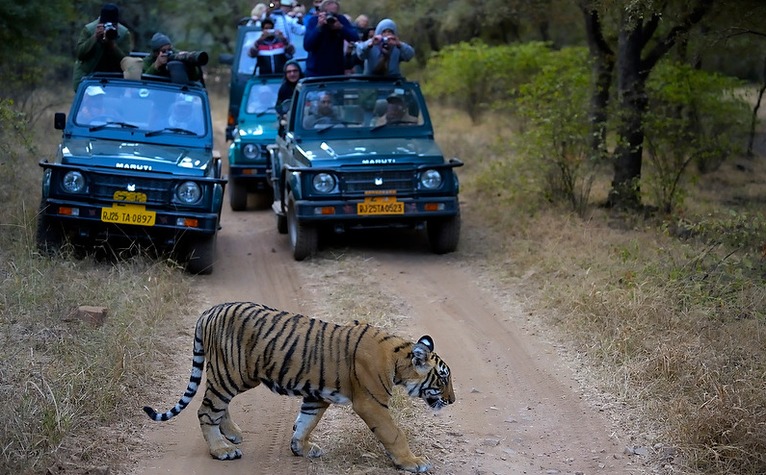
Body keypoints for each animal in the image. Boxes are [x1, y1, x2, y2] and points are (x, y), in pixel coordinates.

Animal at [143, 301, 455, 473]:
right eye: (442, 379)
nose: (452, 400)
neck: (397, 358)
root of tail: (209, 311)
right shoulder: (371, 403)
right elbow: (394, 434)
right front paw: (413, 462)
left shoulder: (317, 396)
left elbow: (307, 421)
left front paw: (300, 447)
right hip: (231, 373)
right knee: (207, 410)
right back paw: (221, 449)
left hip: (230, 376)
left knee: (218, 405)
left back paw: (232, 434)